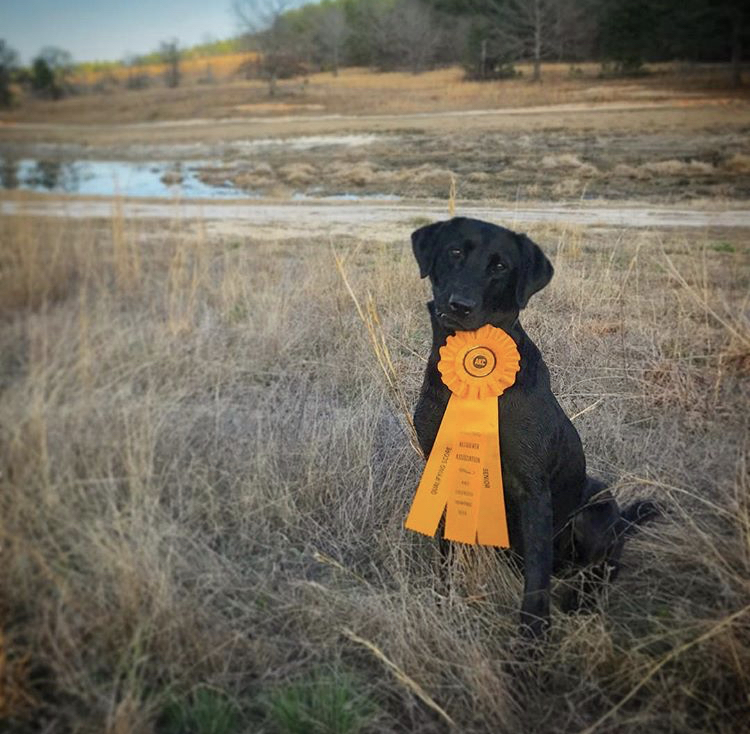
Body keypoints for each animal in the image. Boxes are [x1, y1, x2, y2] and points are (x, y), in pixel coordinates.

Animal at [414, 217, 656, 640]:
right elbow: (445, 551)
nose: (460, 305)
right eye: (455, 251)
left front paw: (532, 639)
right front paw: (444, 600)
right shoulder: (439, 468)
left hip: (596, 505)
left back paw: (582, 600)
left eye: (500, 266)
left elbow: (537, 578)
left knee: (607, 563)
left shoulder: (533, 490)